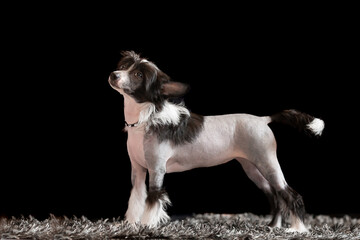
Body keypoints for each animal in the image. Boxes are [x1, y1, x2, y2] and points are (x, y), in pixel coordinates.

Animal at [108, 50, 324, 232]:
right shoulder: (138, 171)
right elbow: (136, 199)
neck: (145, 120)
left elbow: (153, 200)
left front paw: (146, 226)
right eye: (125, 66)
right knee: (274, 196)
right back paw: (274, 225)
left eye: (138, 75)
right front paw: (131, 225)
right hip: (252, 168)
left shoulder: (156, 170)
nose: (114, 75)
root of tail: (264, 119)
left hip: (267, 163)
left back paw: (298, 228)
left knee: (290, 194)